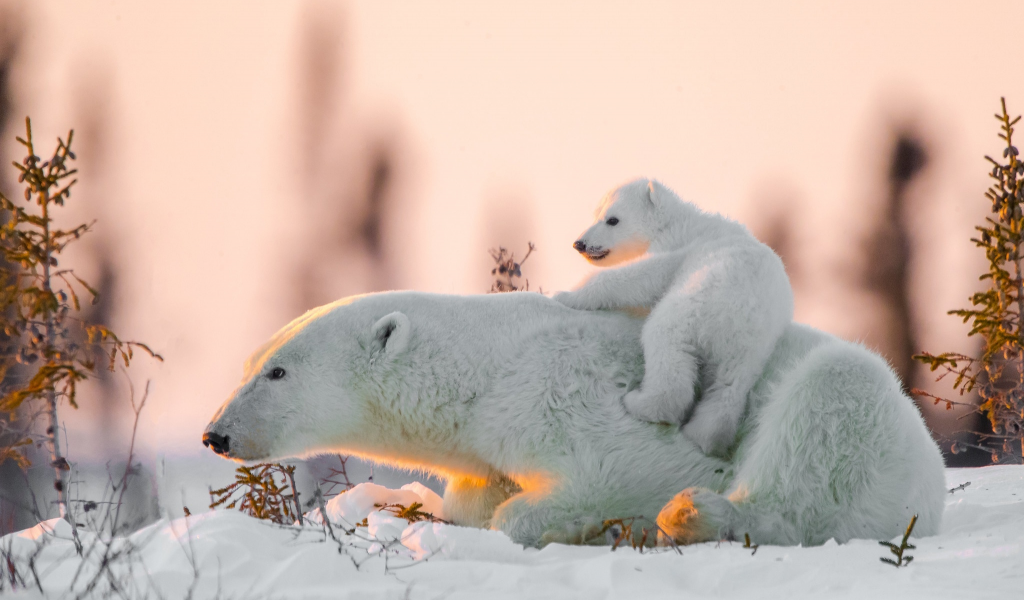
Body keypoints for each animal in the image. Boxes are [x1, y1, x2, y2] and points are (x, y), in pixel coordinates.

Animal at [199, 288, 942, 544]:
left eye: (278, 371)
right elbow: (475, 493)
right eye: (251, 362)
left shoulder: (563, 393)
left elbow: (620, 471)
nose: (215, 433)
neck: (486, 368)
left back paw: (695, 516)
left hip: (859, 419)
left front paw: (563, 521)